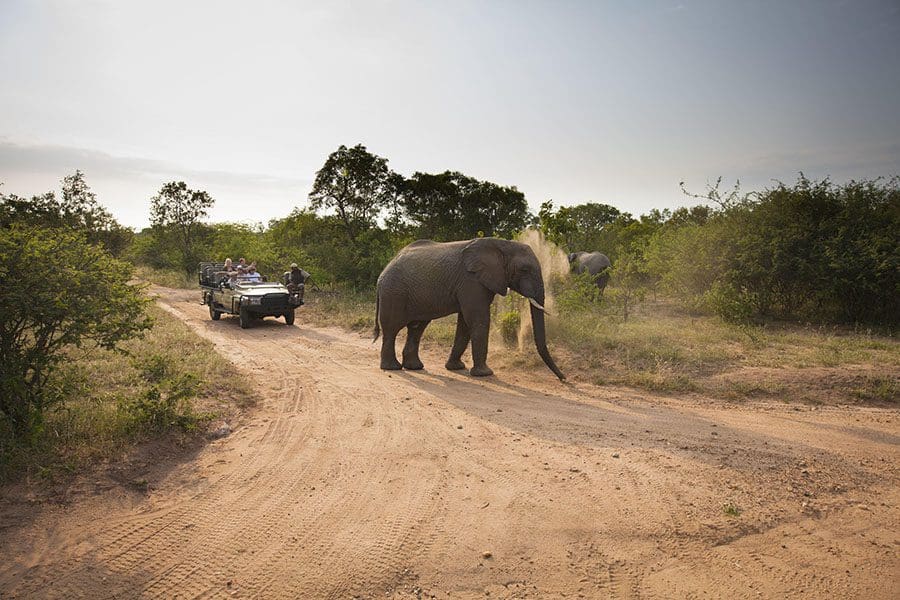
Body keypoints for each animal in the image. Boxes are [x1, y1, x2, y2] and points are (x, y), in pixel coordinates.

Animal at [376, 238, 568, 380]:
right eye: (524, 270)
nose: (563, 378)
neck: (503, 244)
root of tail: (382, 273)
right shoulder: (471, 280)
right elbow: (478, 319)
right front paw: (485, 374)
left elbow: (465, 323)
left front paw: (456, 368)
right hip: (394, 293)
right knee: (392, 328)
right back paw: (392, 368)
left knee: (417, 328)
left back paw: (414, 367)